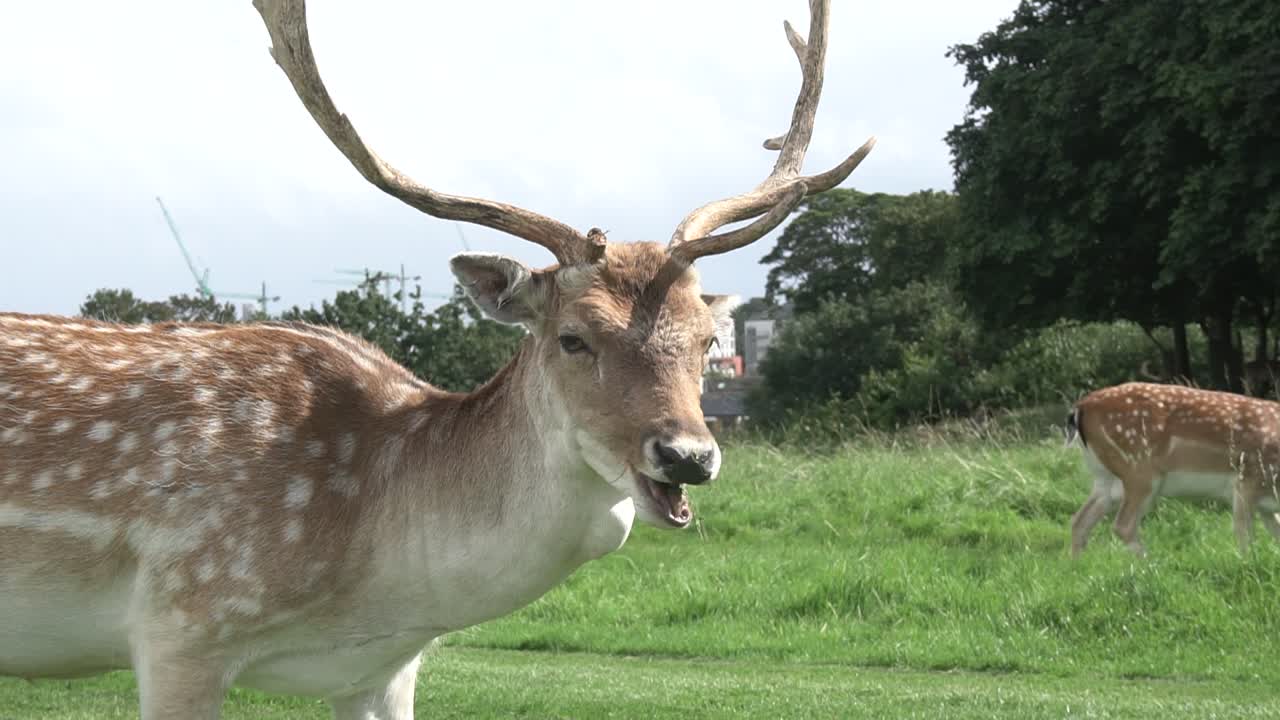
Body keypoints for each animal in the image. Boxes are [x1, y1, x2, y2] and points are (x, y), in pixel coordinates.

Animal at [0, 1, 875, 718]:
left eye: (705, 341)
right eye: (573, 337)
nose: (688, 454)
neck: (383, 578)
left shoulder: (386, 669)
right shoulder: (181, 623)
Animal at [1065, 382, 1280, 557]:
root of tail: (1079, 408)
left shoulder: (1265, 502)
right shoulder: (1247, 481)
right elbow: (1245, 536)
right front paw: (1248, 562)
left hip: (1106, 478)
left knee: (1080, 520)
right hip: (1139, 470)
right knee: (1123, 525)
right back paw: (1152, 564)